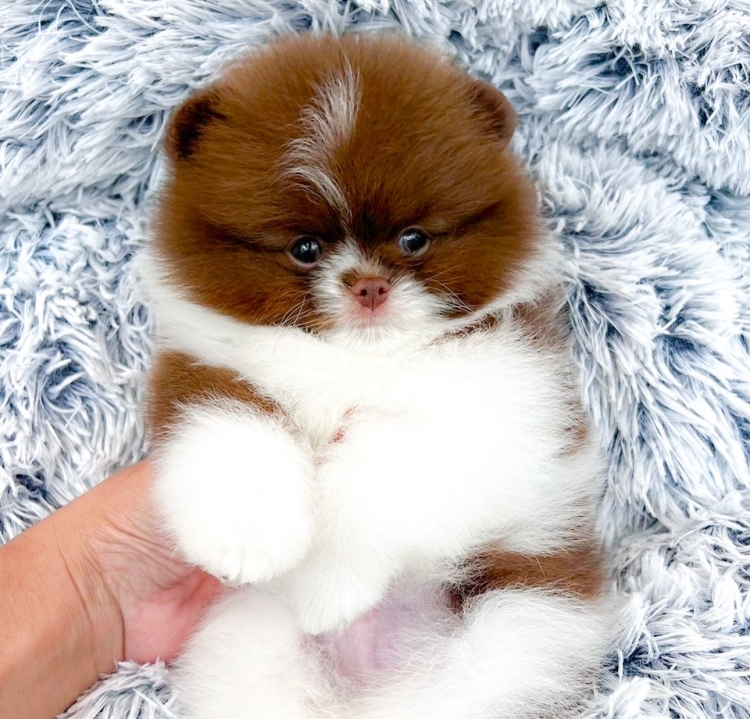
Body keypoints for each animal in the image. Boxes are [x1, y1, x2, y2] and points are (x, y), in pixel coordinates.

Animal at [144, 32, 611, 719]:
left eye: (414, 239)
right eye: (304, 248)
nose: (369, 286)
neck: (356, 359)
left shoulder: (502, 398)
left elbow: (377, 466)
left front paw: (329, 584)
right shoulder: (207, 361)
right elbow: (233, 420)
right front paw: (246, 537)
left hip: (512, 636)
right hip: (252, 656)